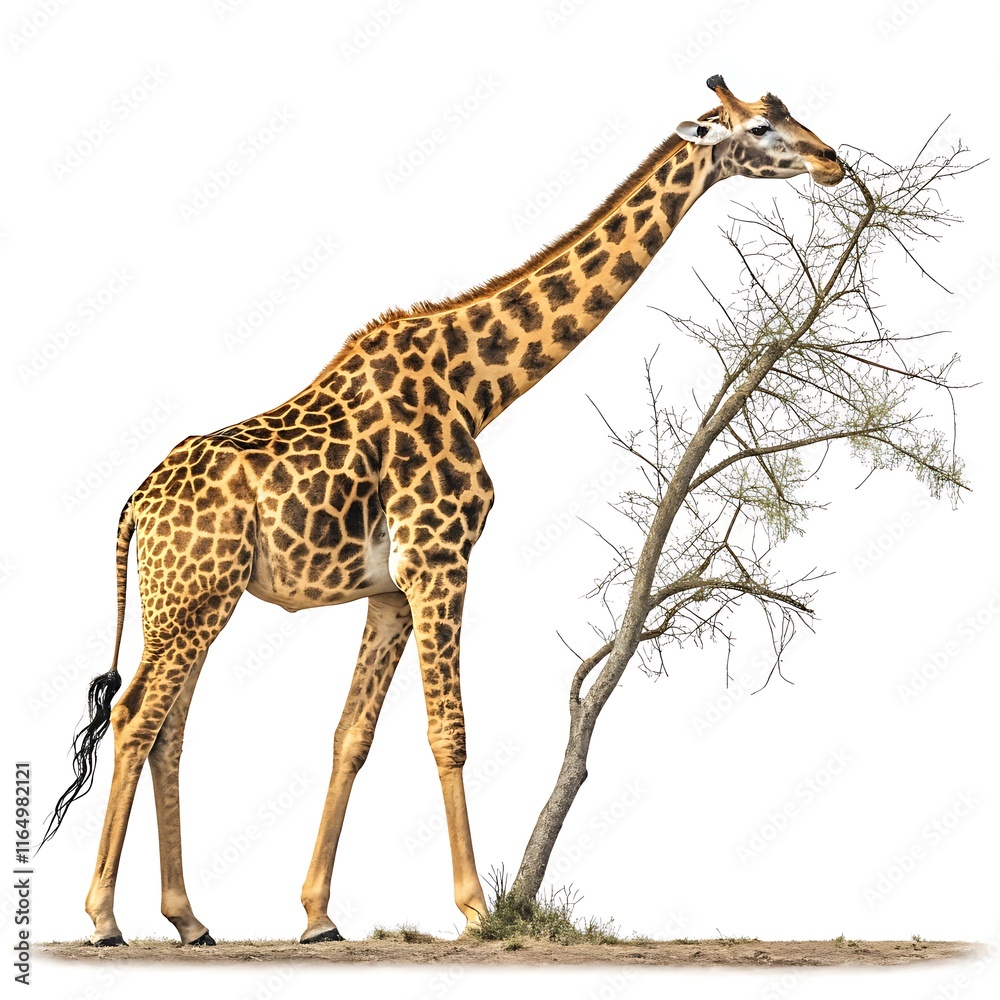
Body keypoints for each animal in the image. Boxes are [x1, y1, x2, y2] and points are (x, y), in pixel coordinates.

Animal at [42, 76, 843, 947]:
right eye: (760, 128)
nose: (833, 159)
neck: (478, 389)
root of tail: (133, 506)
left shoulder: (392, 587)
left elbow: (352, 736)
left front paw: (319, 916)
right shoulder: (440, 558)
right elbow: (448, 730)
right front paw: (476, 907)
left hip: (192, 601)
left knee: (168, 730)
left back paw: (189, 920)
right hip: (192, 597)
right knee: (134, 717)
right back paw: (103, 918)